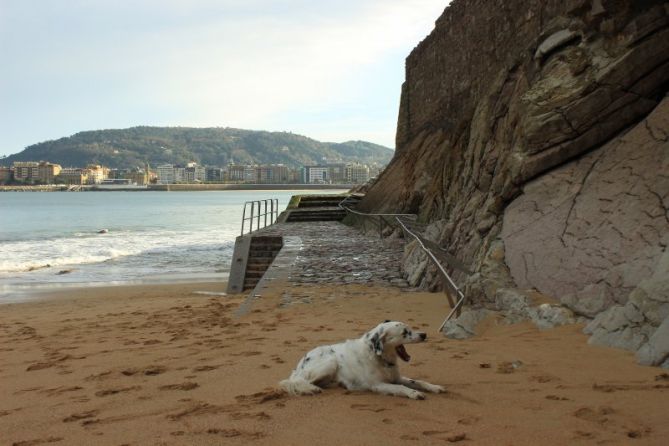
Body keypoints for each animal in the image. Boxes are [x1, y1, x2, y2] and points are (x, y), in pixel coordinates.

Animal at [280, 318, 446, 398]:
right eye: (405, 332)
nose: (424, 334)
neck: (380, 357)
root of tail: (299, 365)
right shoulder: (378, 384)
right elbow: (401, 388)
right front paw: (414, 393)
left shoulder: (396, 377)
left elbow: (418, 381)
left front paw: (434, 387)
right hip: (331, 363)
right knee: (299, 382)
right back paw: (312, 388)